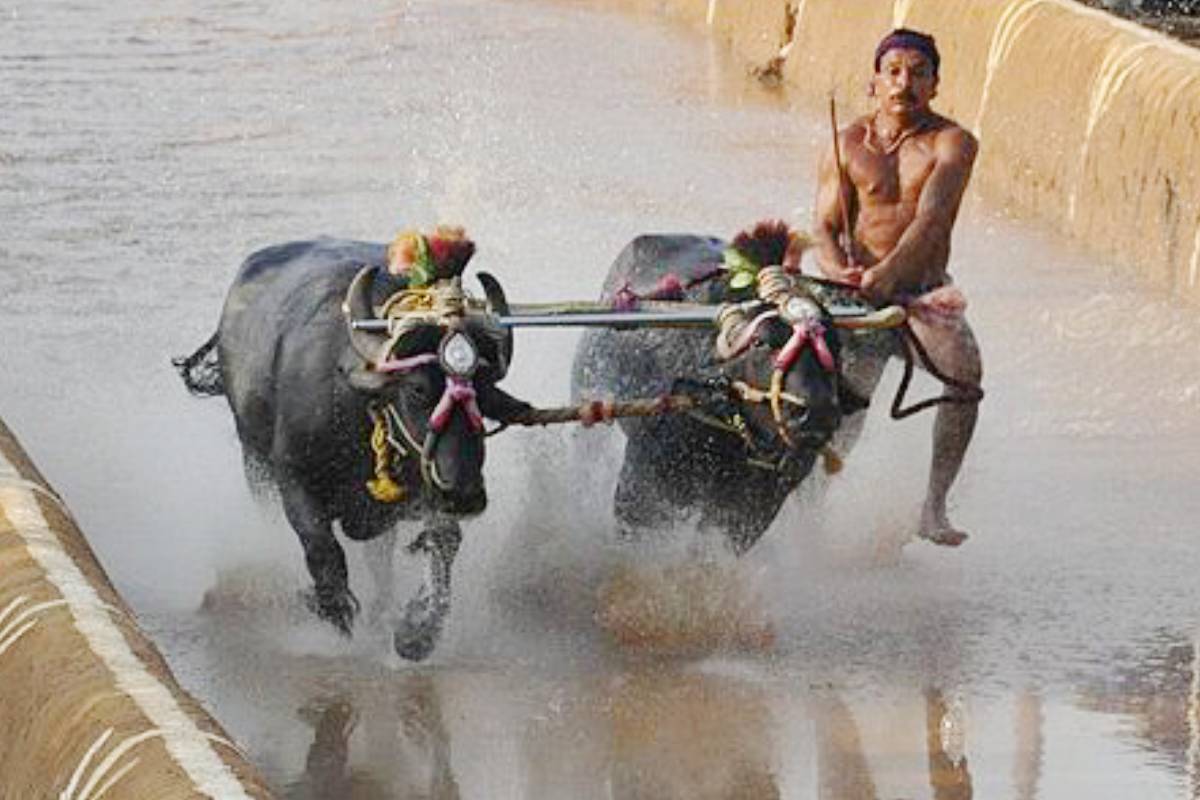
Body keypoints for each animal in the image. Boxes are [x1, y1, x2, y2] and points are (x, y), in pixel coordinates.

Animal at [176, 239, 530, 662]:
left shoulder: (426, 490)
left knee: (381, 555)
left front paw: (416, 631)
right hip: (254, 459)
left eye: (487, 385)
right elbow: (321, 547)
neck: (362, 416)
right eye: (417, 388)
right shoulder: (293, 477)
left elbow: (444, 543)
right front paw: (335, 609)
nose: (464, 493)